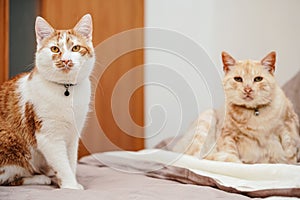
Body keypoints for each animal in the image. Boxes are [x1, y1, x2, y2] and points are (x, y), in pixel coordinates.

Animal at [0, 14, 95, 189]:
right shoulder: (49, 136)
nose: (65, 60)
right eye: (55, 49)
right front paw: (71, 187)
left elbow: (71, 161)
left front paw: (73, 182)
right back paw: (40, 178)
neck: (66, 91)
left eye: (76, 48)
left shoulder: (73, 135)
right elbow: (62, 165)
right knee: (8, 179)